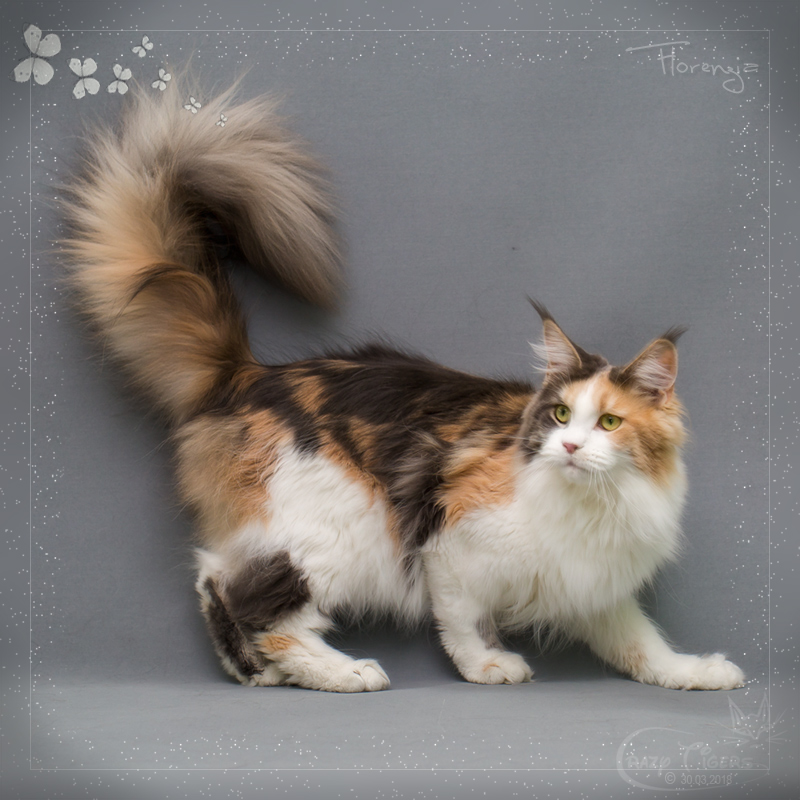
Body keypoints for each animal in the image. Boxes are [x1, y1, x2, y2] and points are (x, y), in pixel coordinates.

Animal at [63, 79, 745, 693]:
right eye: (558, 415)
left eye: (607, 422)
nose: (571, 448)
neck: (593, 505)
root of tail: (248, 373)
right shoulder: (448, 540)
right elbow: (462, 620)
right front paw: (488, 667)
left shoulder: (593, 585)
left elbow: (642, 643)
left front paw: (694, 672)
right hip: (339, 527)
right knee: (253, 600)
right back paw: (339, 672)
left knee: (212, 576)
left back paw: (256, 672)